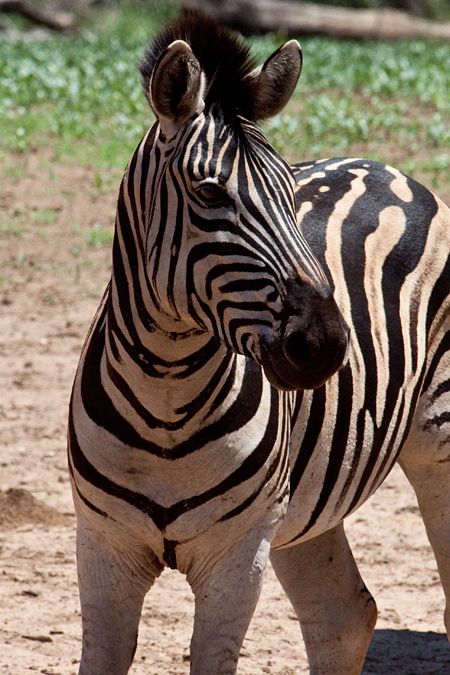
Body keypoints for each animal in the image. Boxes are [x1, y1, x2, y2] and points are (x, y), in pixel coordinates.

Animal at [67, 11, 450, 675]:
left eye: (288, 196)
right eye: (209, 194)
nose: (325, 345)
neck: (165, 400)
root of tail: (389, 169)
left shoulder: (237, 557)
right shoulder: (102, 547)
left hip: (439, 449)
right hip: (303, 507)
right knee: (343, 614)